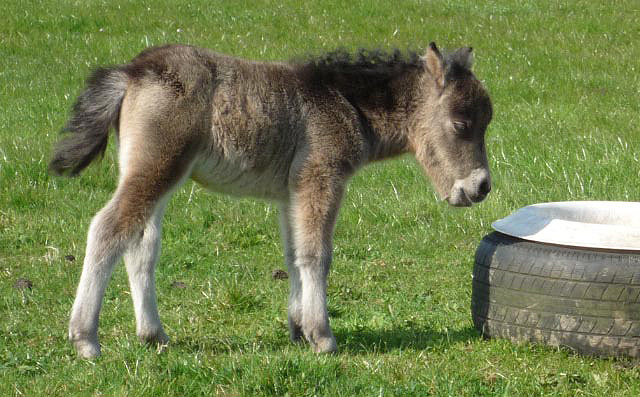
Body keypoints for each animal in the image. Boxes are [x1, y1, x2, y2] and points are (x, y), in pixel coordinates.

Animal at [50, 42, 492, 356]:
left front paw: (298, 329)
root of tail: (132, 71)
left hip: (152, 171)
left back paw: (154, 334)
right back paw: (85, 339)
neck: (346, 101)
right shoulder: (321, 177)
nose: (481, 187)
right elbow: (316, 254)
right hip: (158, 166)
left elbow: (293, 253)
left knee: (141, 245)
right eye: (460, 123)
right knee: (107, 229)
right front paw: (322, 336)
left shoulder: (291, 193)